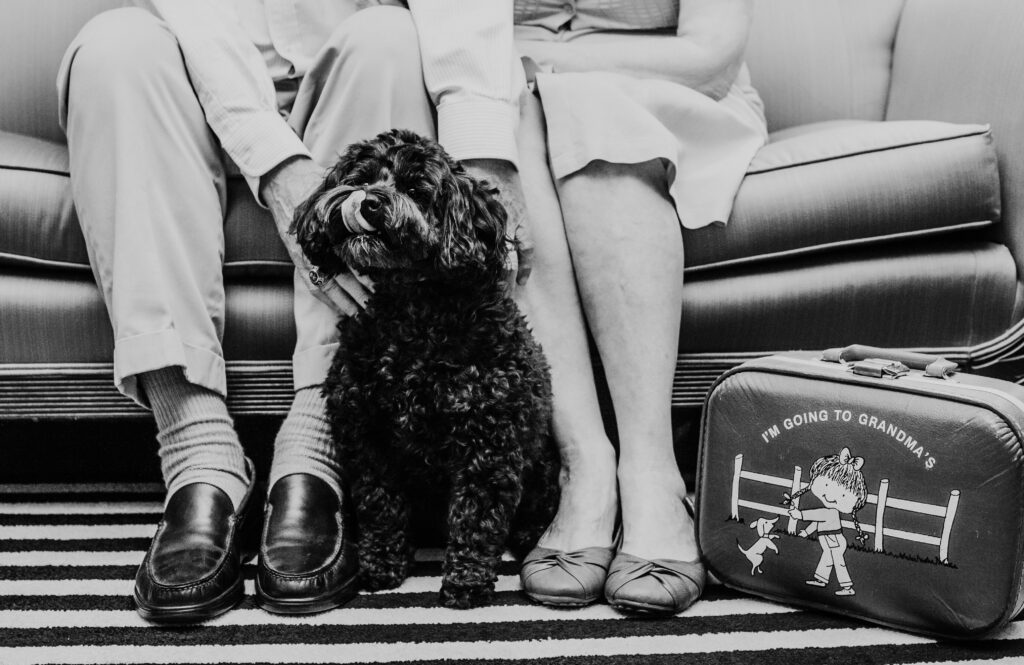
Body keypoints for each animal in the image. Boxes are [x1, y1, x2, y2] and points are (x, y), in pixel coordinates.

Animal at [288, 128, 561, 606]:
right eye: (360, 177)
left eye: (417, 189)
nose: (369, 202)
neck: (413, 312)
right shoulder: (367, 436)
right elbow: (380, 506)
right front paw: (380, 567)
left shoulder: (490, 440)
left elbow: (477, 516)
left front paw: (466, 581)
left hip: (540, 465)